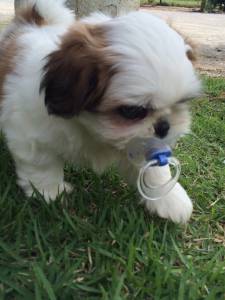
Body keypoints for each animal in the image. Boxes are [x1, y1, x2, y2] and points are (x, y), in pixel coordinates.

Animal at [0, 0, 200, 223]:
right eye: (131, 111)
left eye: (182, 102)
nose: (164, 126)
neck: (91, 128)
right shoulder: (30, 136)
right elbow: (42, 165)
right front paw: (49, 193)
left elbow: (154, 166)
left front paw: (169, 198)